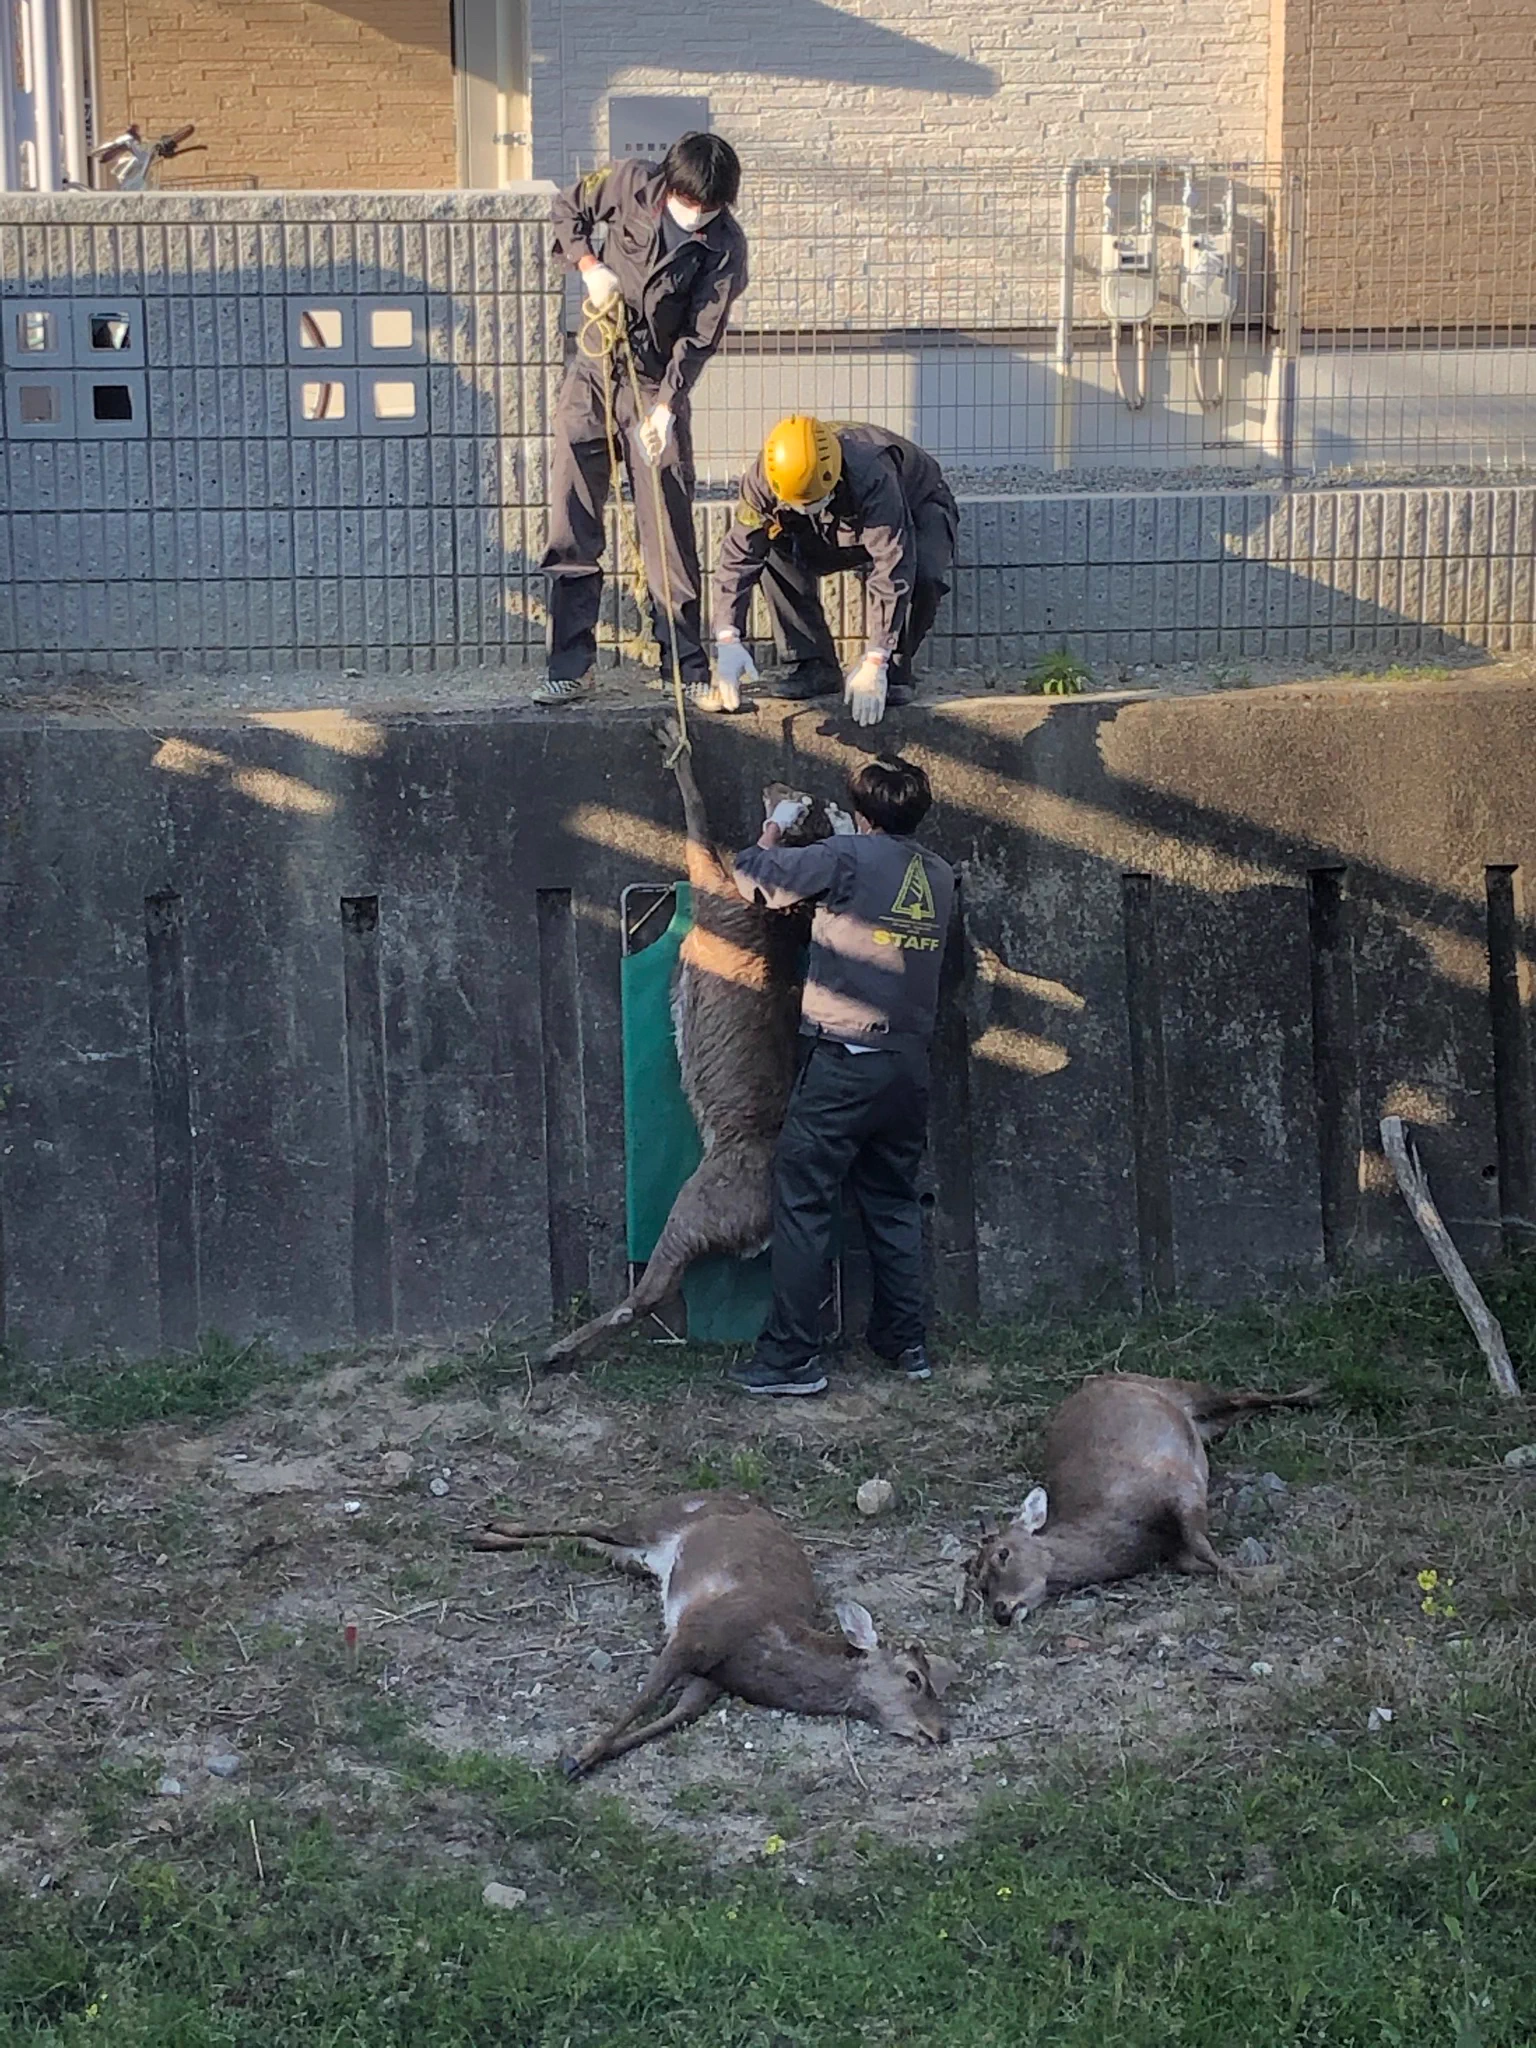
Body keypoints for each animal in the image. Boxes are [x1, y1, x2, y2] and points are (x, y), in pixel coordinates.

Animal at [474, 1491, 956, 1776]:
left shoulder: (711, 1679)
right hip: (651, 1523)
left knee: (585, 1542)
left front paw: (585, 1760)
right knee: (589, 1523)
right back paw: (488, 1531)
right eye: (914, 1676)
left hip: (635, 1558)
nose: (941, 1732)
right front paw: (578, 1755)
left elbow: (676, 1715)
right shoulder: (694, 1634)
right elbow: (644, 1699)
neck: (767, 1650)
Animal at [540, 717, 836, 1370]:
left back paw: (561, 1348)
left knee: (648, 1291)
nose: (776, 781)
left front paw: (672, 737)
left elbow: (697, 819)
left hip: (693, 1209)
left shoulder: (708, 878)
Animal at [965, 1374, 1322, 1625]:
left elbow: (1202, 1546)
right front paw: (1263, 1573)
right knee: (1236, 1407)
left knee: (1240, 1393)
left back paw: (1313, 1392)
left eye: (1003, 1553)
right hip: (1208, 1424)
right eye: (981, 1584)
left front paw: (1264, 1577)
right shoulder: (1172, 1538)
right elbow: (1191, 1559)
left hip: (1177, 1387)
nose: (1001, 1610)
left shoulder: (1178, 1484)